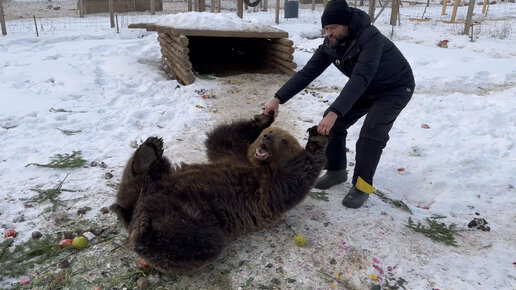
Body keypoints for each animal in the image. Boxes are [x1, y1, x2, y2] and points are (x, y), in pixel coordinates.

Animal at [110, 112, 328, 274]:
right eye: (270, 132)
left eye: (284, 140)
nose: (267, 136)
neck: (257, 165)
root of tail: (135, 214)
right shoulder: (233, 154)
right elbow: (223, 137)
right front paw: (264, 117)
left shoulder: (266, 191)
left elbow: (294, 180)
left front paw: (317, 140)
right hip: (159, 182)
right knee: (136, 184)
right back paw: (148, 152)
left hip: (202, 220)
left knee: (196, 245)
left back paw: (145, 234)